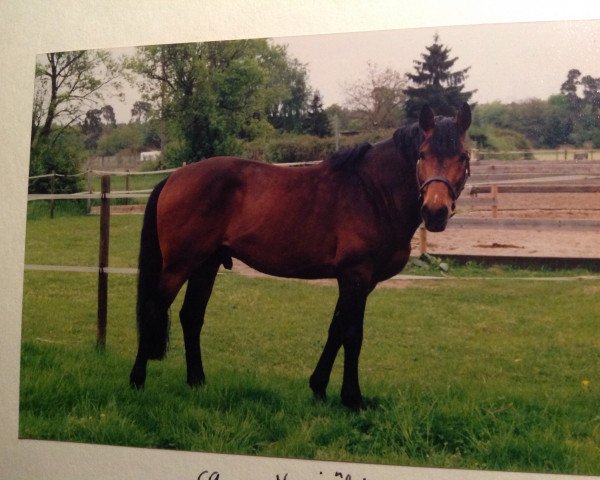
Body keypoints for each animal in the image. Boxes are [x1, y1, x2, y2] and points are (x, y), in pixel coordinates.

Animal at [129, 102, 472, 408]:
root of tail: (174, 177)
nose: (435, 212)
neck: (373, 191)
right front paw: (352, 399)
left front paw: (319, 388)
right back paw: (137, 381)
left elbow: (336, 330)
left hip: (205, 265)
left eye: (463, 156)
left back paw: (197, 382)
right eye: (422, 155)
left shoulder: (360, 282)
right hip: (179, 266)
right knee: (154, 310)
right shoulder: (355, 275)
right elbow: (352, 334)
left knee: (191, 316)